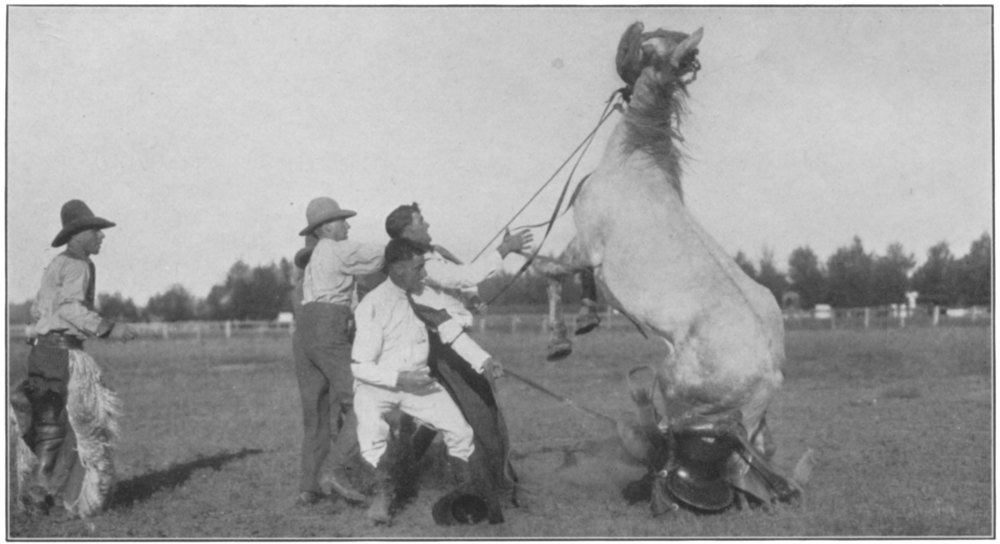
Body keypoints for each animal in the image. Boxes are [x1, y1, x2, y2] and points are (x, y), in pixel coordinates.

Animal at [528, 22, 803, 512]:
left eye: (647, 44)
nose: (630, 30)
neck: (633, 164)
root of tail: (767, 376)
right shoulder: (586, 251)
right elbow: (577, 282)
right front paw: (586, 318)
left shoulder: (588, 247)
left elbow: (551, 273)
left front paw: (559, 339)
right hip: (749, 417)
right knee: (752, 463)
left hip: (678, 391)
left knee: (693, 445)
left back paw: (660, 491)